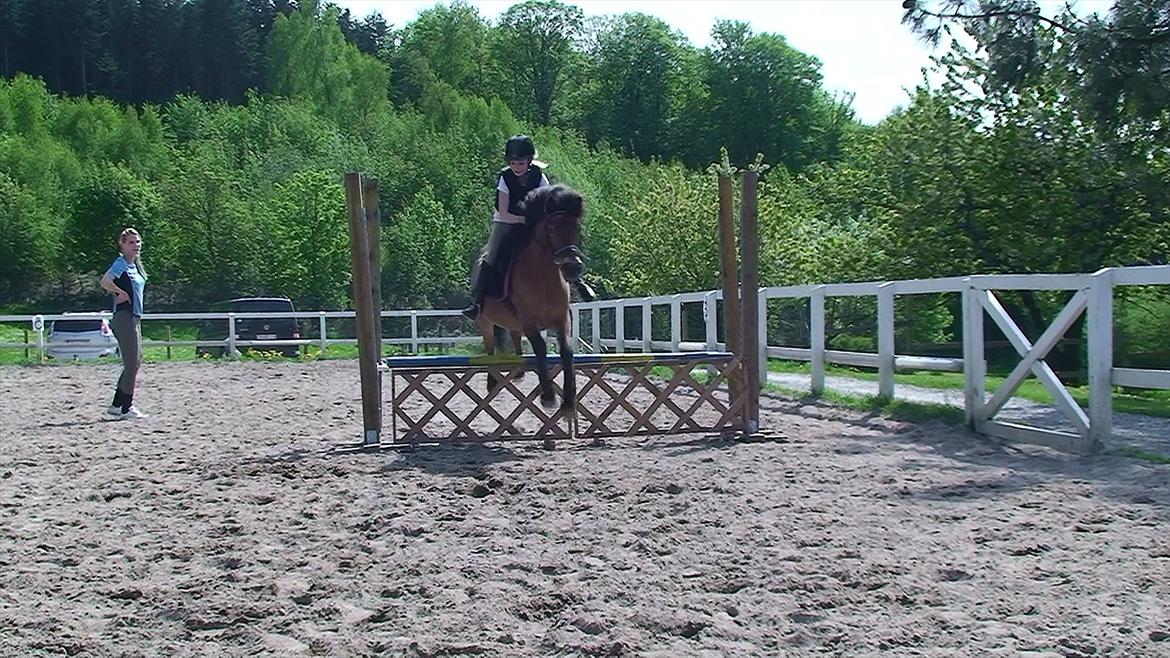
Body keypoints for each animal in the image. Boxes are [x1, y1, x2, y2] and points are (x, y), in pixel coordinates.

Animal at [474, 184, 585, 411]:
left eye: (577, 229)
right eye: (551, 229)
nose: (572, 267)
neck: (543, 277)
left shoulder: (562, 318)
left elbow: (566, 350)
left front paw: (569, 399)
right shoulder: (528, 321)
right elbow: (540, 348)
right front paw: (549, 396)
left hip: (514, 323)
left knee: (515, 339)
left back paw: (519, 373)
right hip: (485, 321)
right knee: (491, 349)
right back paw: (492, 383)